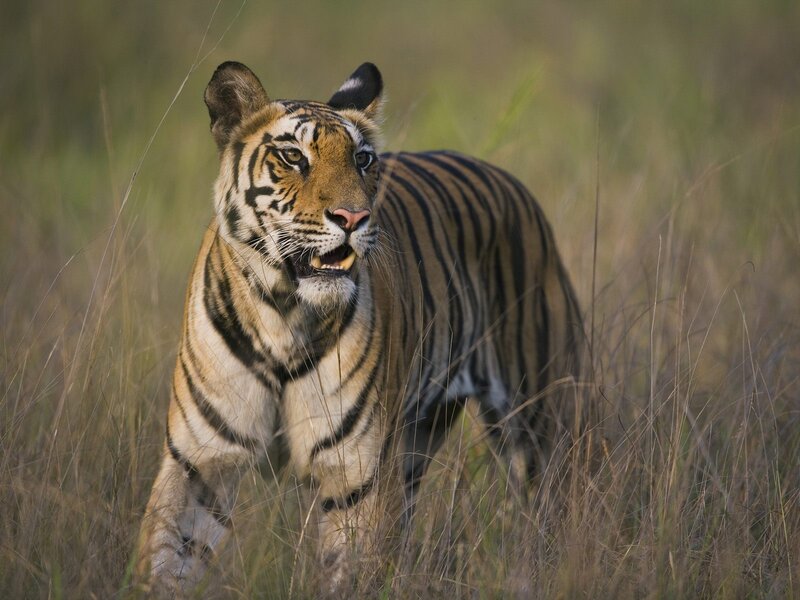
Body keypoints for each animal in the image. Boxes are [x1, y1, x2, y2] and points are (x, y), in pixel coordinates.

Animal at [135, 60, 585, 597]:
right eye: (293, 156)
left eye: (363, 159)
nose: (352, 217)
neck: (283, 315)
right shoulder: (200, 463)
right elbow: (167, 560)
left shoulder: (358, 477)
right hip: (416, 441)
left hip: (537, 420)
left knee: (550, 512)